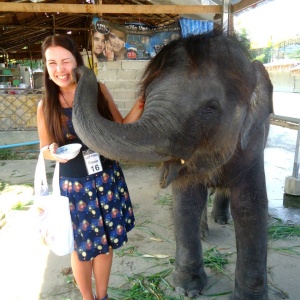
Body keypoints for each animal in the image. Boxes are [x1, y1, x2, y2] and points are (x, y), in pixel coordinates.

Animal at [72, 31, 272, 300]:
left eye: (211, 108)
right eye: (145, 99)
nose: (77, 67)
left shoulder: (254, 143)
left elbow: (250, 207)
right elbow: (187, 202)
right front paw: (187, 290)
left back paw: (221, 220)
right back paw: (205, 231)